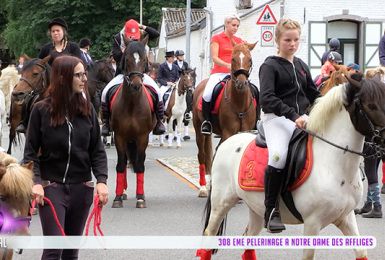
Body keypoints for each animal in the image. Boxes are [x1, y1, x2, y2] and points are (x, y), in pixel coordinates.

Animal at [109, 37, 155, 208]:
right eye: (127, 59)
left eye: (144, 60)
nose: (136, 85)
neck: (132, 104)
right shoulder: (119, 137)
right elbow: (121, 164)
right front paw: (117, 197)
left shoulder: (142, 137)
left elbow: (140, 164)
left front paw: (141, 197)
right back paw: (122, 192)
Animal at [192, 42, 258, 197]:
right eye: (233, 59)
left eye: (250, 59)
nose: (241, 83)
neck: (239, 102)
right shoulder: (228, 132)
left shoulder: (244, 131)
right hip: (199, 131)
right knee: (202, 155)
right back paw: (203, 187)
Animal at [195, 74, 384, 258]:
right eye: (371, 105)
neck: (334, 166)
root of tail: (227, 141)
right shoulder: (312, 223)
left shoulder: (346, 217)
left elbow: (361, 252)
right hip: (221, 204)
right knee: (209, 234)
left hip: (256, 209)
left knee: (248, 240)